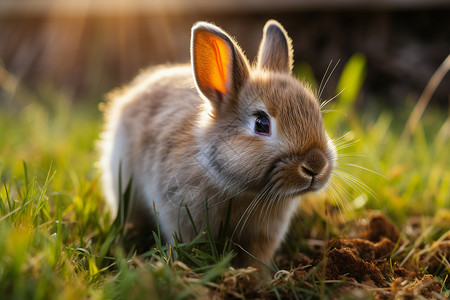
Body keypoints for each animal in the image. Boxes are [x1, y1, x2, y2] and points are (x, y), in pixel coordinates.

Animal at [100, 19, 336, 270]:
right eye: (261, 123)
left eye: (317, 115)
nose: (316, 165)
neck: (244, 192)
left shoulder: (264, 235)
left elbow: (258, 257)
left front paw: (258, 276)